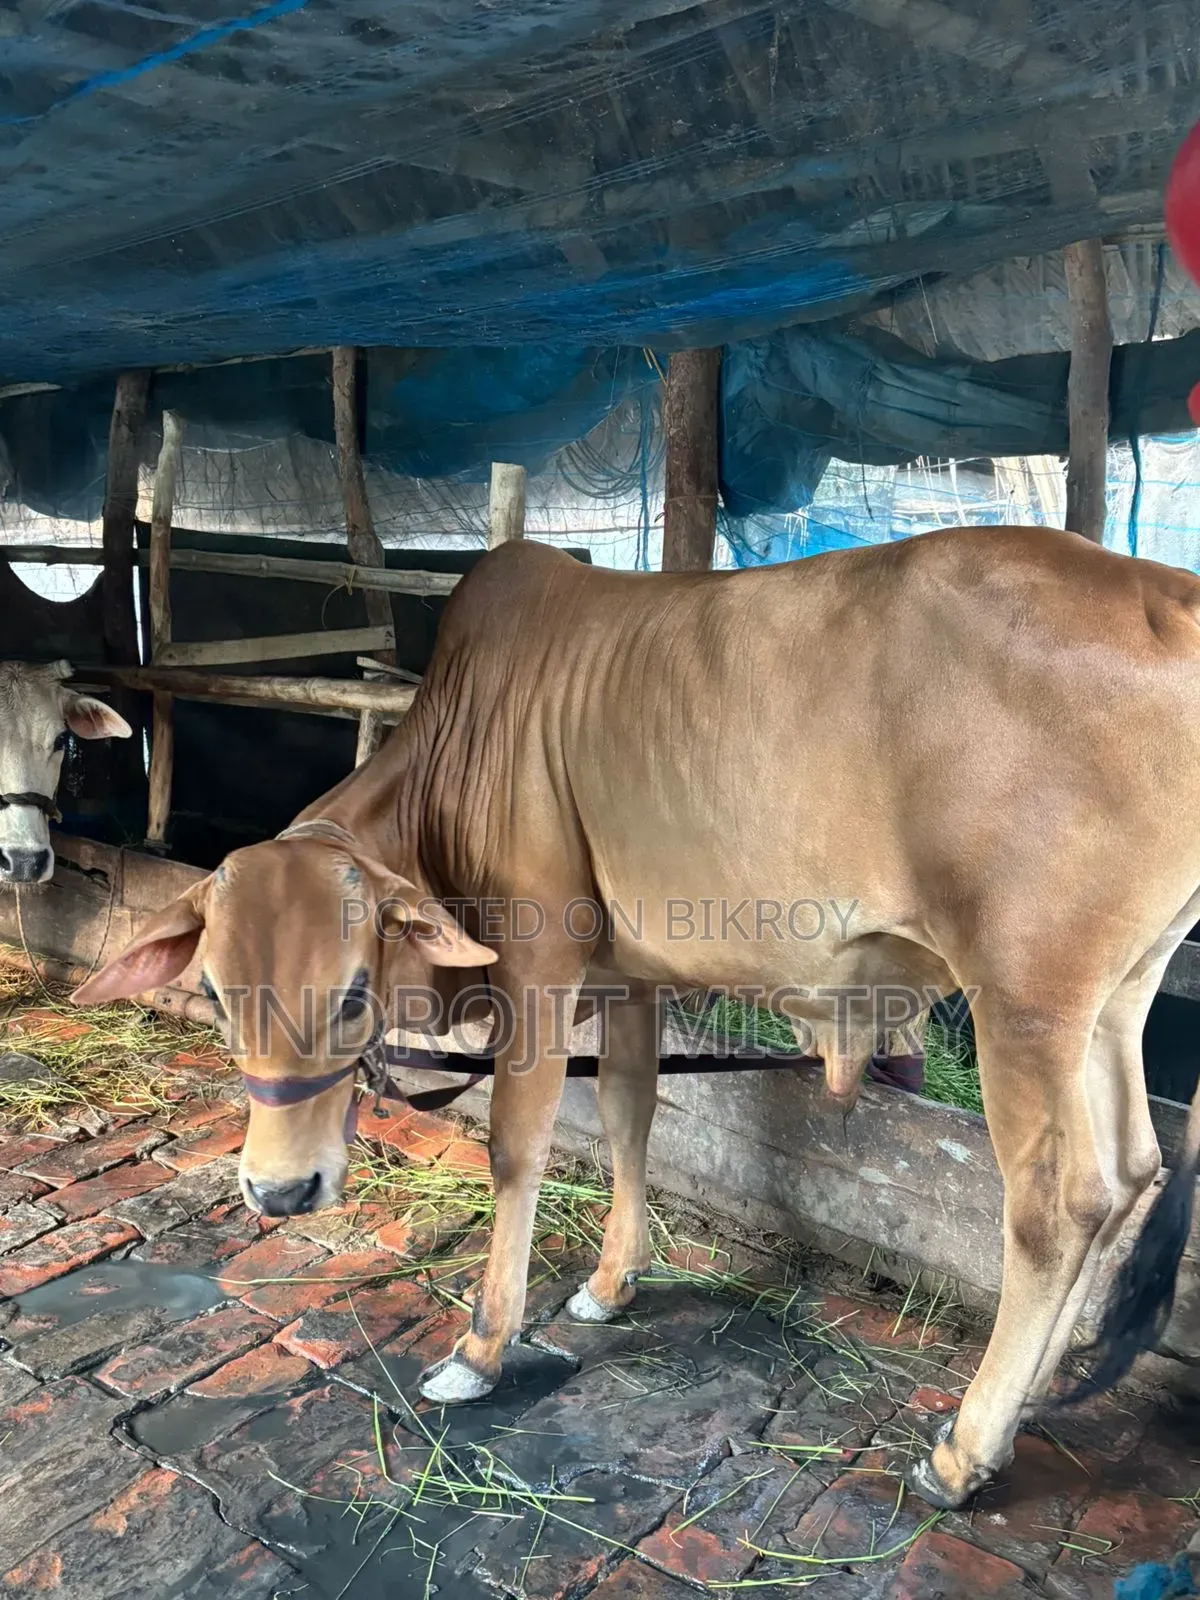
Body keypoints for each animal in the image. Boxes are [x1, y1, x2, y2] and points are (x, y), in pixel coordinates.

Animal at [73, 526, 1200, 1511]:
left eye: (353, 991)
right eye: (220, 994)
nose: (278, 1191)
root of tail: (1170, 594)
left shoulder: (536, 965)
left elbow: (518, 1143)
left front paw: (481, 1347)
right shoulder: (629, 976)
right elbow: (628, 1112)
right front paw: (612, 1282)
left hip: (1027, 995)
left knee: (1059, 1201)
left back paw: (965, 1450)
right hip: (1117, 997)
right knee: (1133, 1171)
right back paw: (1032, 1402)